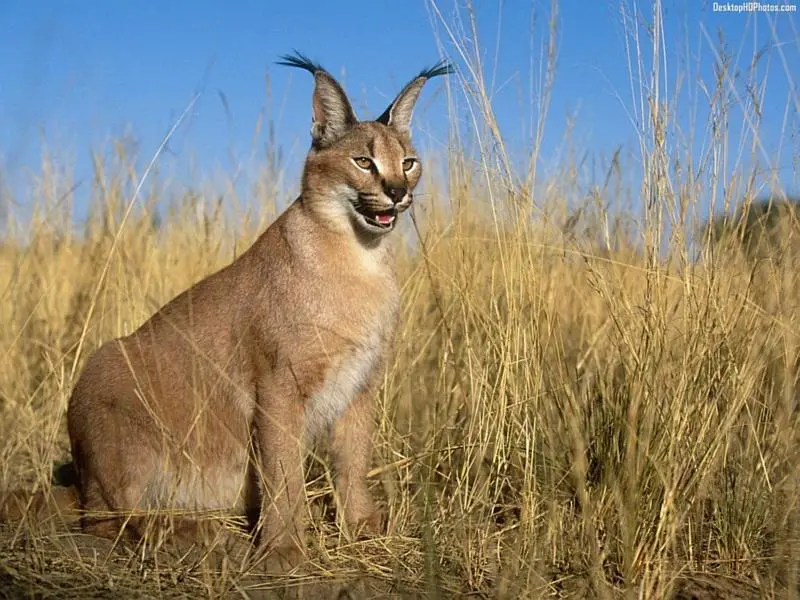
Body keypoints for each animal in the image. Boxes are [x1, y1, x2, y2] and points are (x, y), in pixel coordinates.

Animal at [1, 50, 450, 564]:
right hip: (106, 369)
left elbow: (353, 459)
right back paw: (196, 536)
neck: (361, 255)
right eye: (363, 161)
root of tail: (81, 478)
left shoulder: (360, 382)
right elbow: (284, 470)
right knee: (105, 518)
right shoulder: (279, 383)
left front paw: (362, 527)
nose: (397, 191)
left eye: (409, 162)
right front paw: (284, 547)